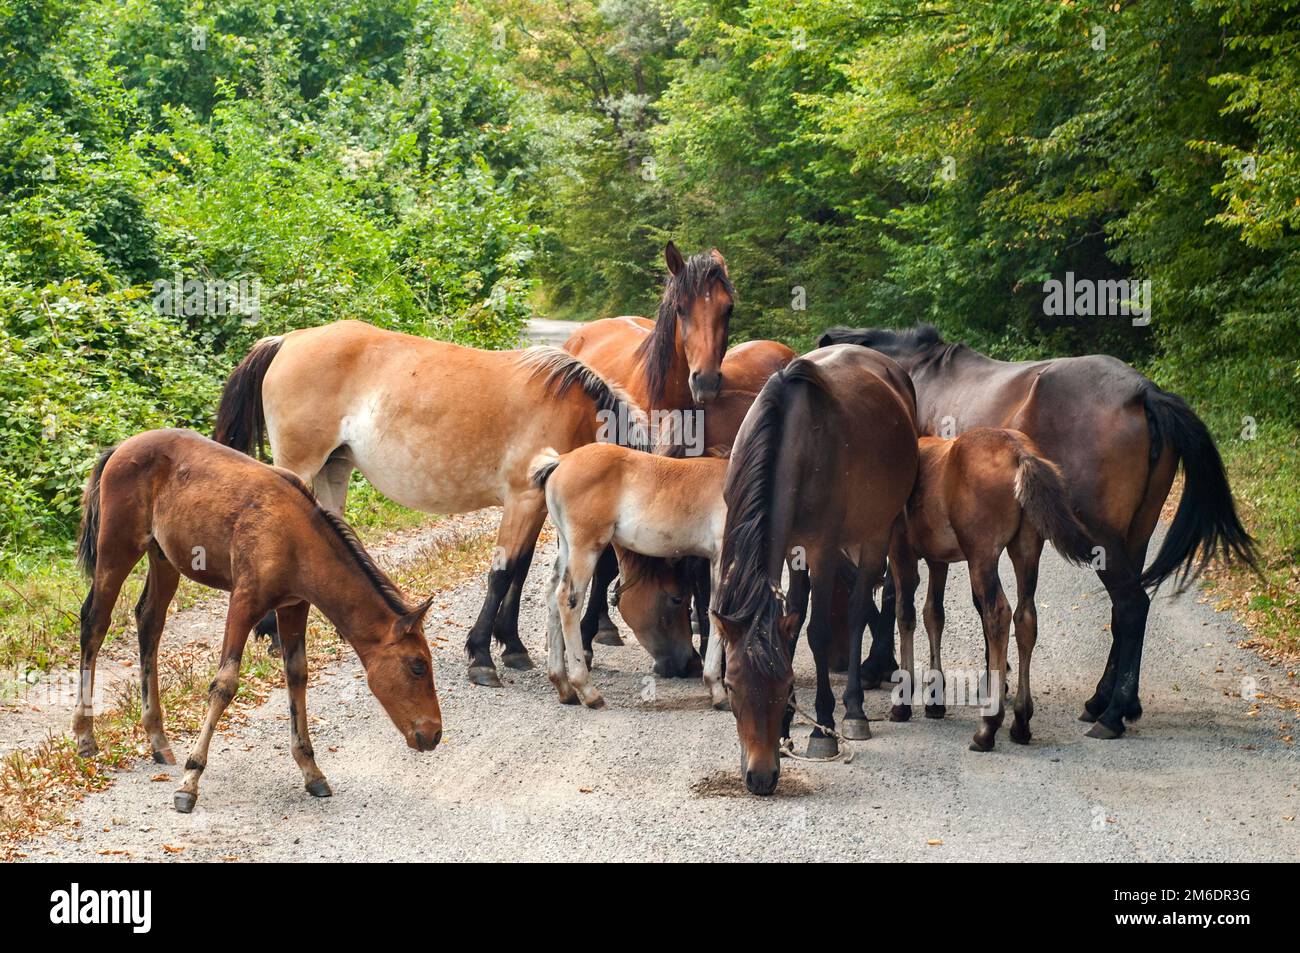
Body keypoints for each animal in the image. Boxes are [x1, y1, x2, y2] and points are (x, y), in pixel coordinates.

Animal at [73, 429, 442, 813]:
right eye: (418, 666)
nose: (434, 733)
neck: (295, 539)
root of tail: (121, 447)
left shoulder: (294, 606)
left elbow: (297, 675)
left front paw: (311, 769)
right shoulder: (243, 602)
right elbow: (224, 684)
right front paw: (190, 780)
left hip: (164, 558)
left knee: (149, 622)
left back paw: (158, 738)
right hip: (117, 548)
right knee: (94, 622)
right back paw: (85, 735)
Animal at [213, 319, 647, 689]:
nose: (592, 645)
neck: (574, 409)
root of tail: (289, 339)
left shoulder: (536, 504)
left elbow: (520, 570)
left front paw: (513, 647)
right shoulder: (523, 498)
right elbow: (503, 573)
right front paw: (481, 657)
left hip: (333, 468)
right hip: (299, 463)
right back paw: (271, 632)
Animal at [528, 443, 730, 709]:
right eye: (676, 598)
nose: (685, 663)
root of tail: (562, 460)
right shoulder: (722, 554)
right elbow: (717, 611)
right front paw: (718, 689)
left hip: (567, 546)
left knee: (552, 594)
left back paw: (563, 686)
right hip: (585, 546)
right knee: (568, 599)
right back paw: (587, 690)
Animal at [713, 346, 919, 795]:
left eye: (788, 685)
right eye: (732, 687)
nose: (761, 777)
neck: (794, 441)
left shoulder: (822, 548)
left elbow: (817, 632)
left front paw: (821, 727)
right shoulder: (792, 548)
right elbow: (789, 624)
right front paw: (786, 728)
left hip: (878, 529)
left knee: (860, 609)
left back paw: (854, 710)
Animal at [889, 429, 1094, 751]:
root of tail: (1019, 453)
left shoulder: (900, 551)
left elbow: (905, 614)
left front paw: (903, 701)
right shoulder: (938, 560)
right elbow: (933, 615)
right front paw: (935, 699)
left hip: (982, 556)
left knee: (998, 614)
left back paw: (988, 725)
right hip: (1026, 550)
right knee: (1025, 617)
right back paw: (1021, 721)